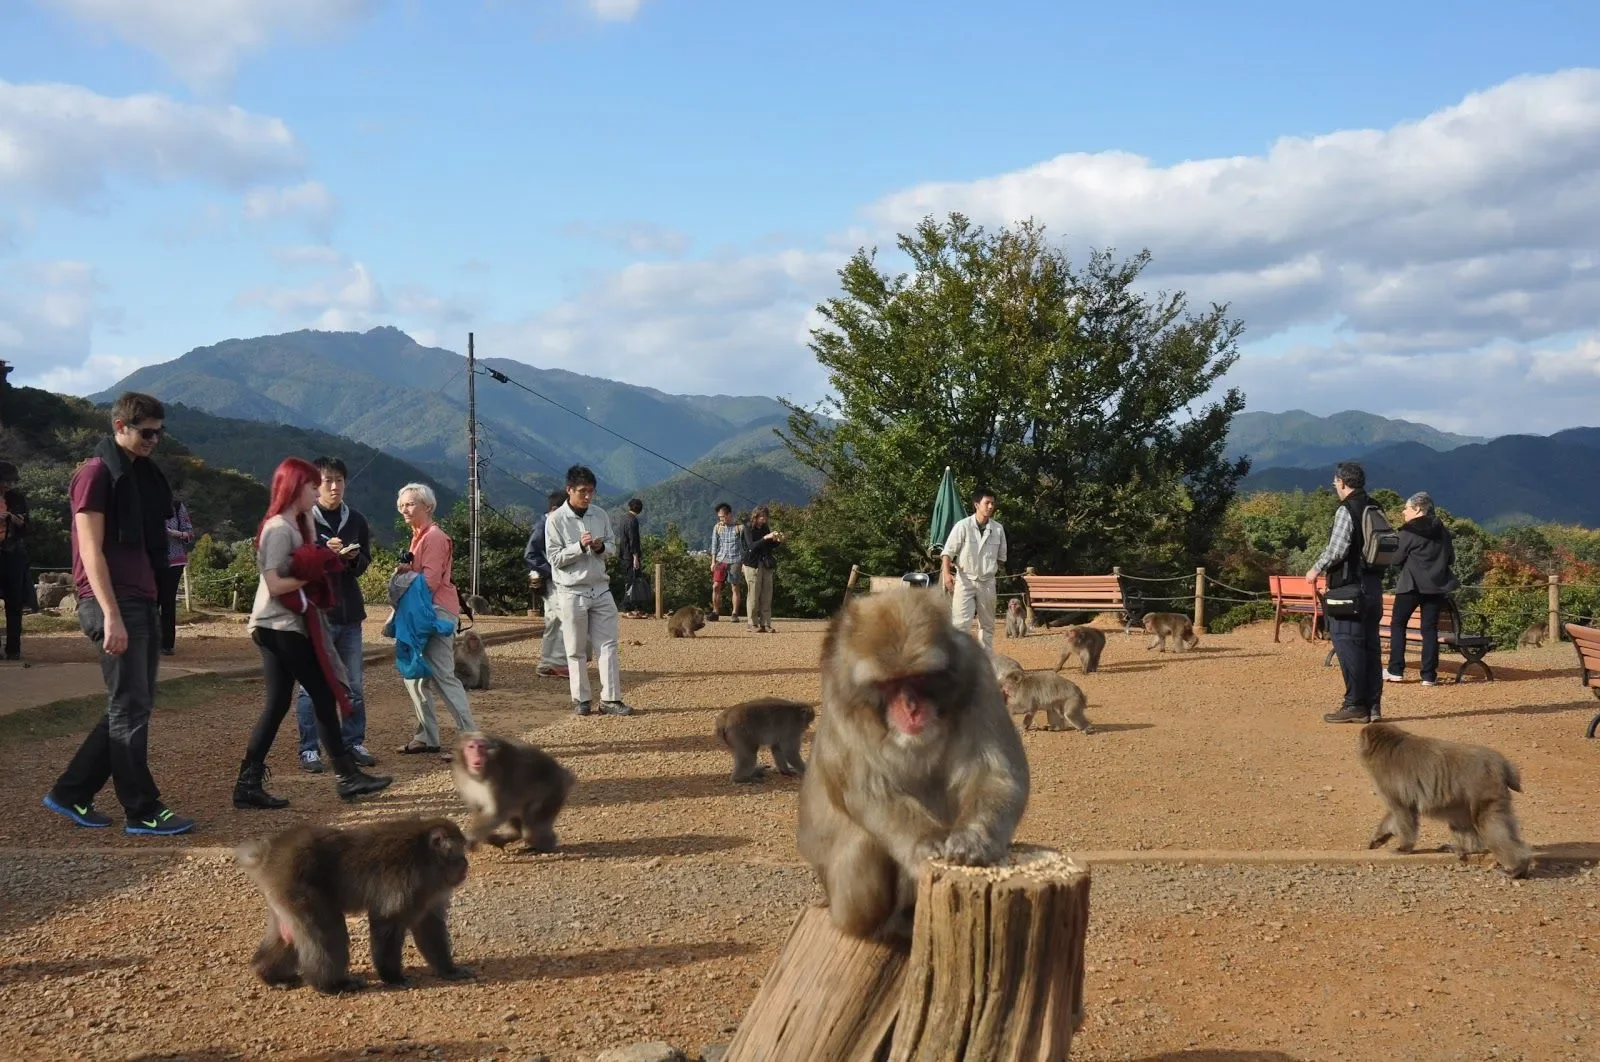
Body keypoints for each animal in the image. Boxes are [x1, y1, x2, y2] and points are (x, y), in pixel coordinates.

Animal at [234, 817, 475, 994]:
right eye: (459, 851)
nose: (465, 864)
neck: (426, 856)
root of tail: (270, 852)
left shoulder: (430, 891)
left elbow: (428, 925)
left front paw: (449, 970)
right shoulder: (408, 881)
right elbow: (386, 922)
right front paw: (392, 976)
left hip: (281, 895)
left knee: (288, 935)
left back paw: (269, 975)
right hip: (299, 888)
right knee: (327, 932)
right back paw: (331, 985)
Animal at [797, 588, 1030, 939]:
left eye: (919, 678)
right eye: (889, 685)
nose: (911, 708)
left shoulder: (977, 675)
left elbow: (994, 771)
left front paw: (973, 837)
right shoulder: (843, 700)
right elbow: (871, 789)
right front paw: (927, 841)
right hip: (841, 900)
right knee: (864, 844)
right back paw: (881, 928)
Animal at [1357, 723, 1531, 879]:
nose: (1357, 744)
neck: (1387, 746)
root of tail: (1502, 763)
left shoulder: (1387, 779)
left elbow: (1402, 810)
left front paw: (1404, 848)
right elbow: (1393, 813)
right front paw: (1379, 838)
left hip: (1484, 790)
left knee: (1489, 824)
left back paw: (1518, 867)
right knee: (1462, 817)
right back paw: (1469, 849)